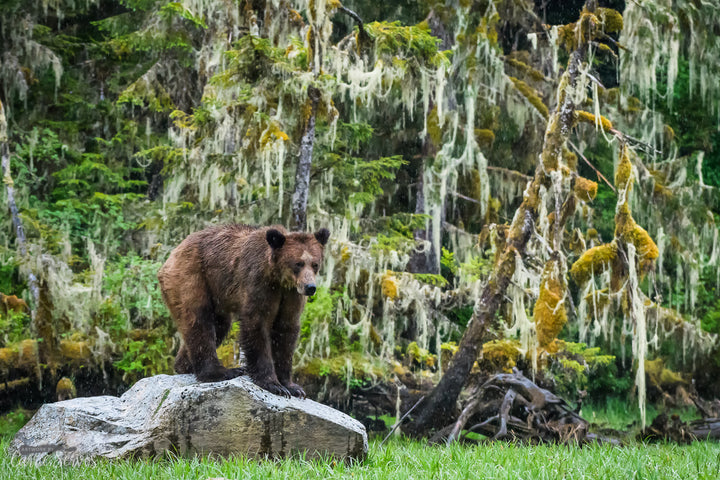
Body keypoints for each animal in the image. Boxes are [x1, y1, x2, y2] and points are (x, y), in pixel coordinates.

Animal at [159, 225, 330, 398]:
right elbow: (256, 325)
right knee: (199, 321)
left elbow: (286, 332)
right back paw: (222, 371)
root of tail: (173, 253)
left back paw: (184, 365)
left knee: (219, 326)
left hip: (217, 295)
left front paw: (293, 386)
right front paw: (273, 384)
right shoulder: (258, 283)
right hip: (193, 276)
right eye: (298, 263)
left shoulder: (291, 295)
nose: (310, 287)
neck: (278, 278)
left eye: (315, 264)